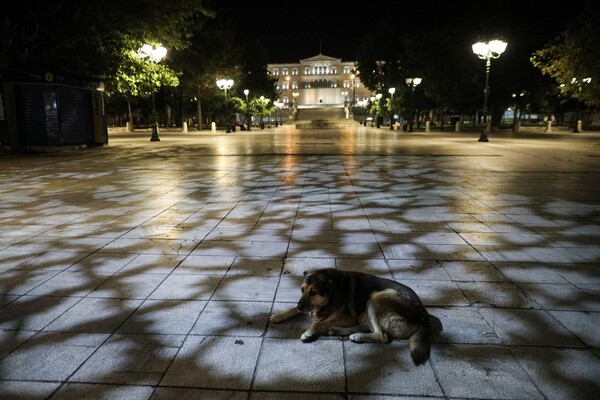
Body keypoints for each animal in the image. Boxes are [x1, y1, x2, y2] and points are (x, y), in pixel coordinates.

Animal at [270, 268, 442, 366]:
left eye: (314, 292)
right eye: (302, 290)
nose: (301, 306)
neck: (333, 291)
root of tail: (424, 316)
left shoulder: (347, 317)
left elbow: (319, 323)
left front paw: (309, 332)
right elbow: (293, 309)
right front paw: (279, 315)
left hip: (376, 297)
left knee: (382, 336)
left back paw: (357, 336)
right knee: (367, 327)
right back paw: (340, 331)